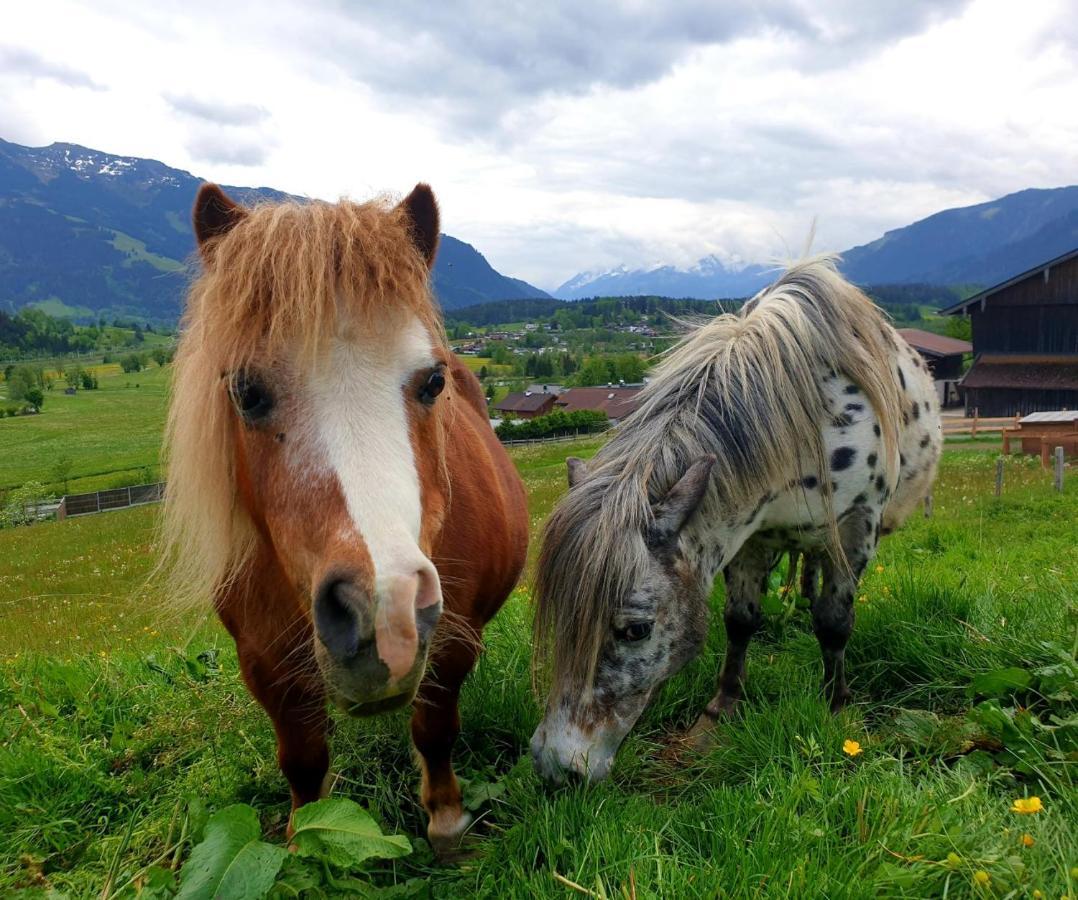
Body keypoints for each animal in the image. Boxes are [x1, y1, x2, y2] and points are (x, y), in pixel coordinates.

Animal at [161, 181, 528, 853]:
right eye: (246, 392)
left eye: (432, 382)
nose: (382, 613)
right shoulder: (266, 666)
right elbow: (303, 763)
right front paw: (305, 845)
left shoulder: (453, 639)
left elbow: (435, 727)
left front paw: (445, 819)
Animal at [534, 256, 940, 784]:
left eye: (636, 630)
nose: (556, 767)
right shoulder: (748, 536)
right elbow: (740, 621)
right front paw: (720, 711)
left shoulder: (855, 528)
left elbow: (834, 623)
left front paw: (836, 706)